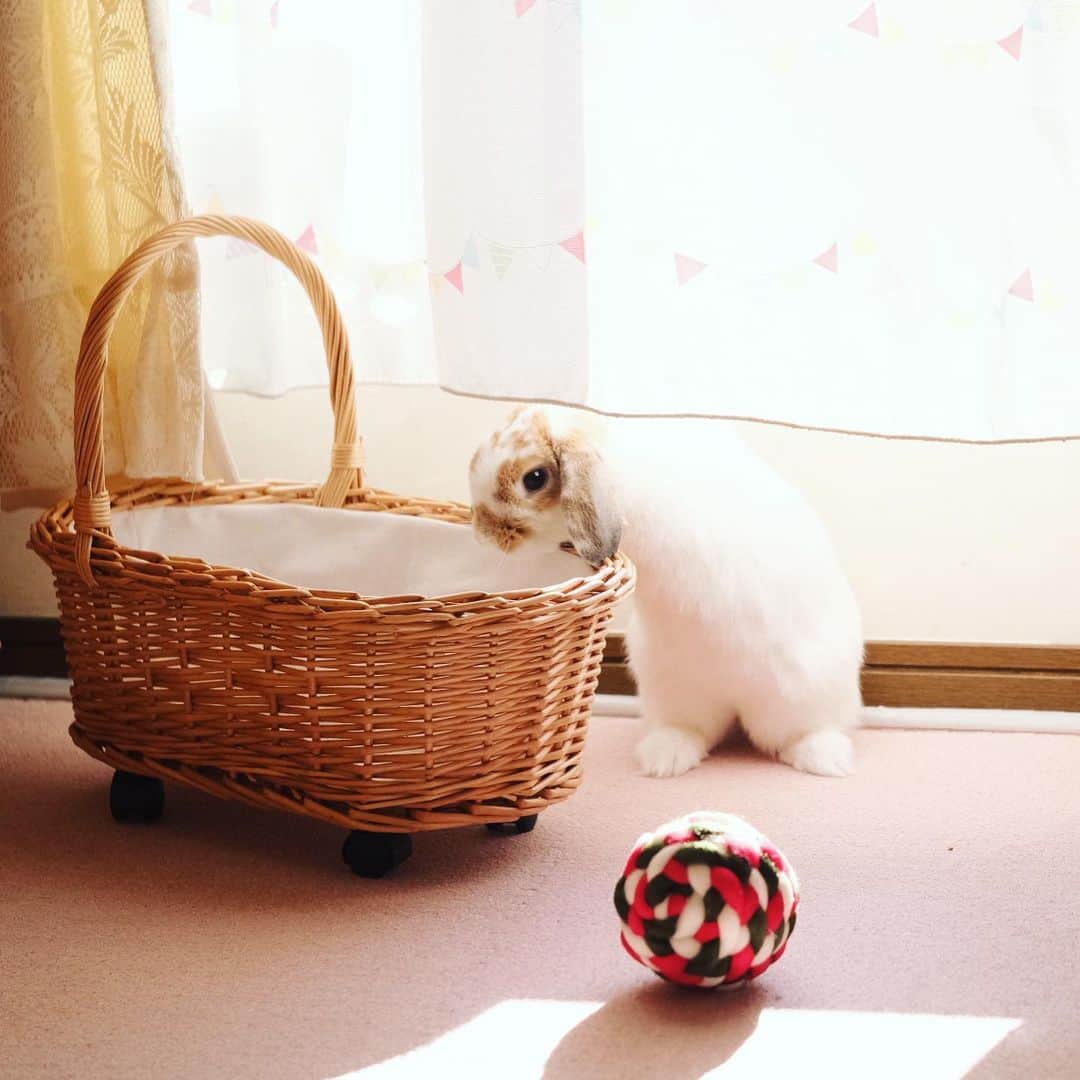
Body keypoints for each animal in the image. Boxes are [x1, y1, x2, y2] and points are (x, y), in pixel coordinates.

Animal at [468, 404, 863, 778]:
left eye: (534, 478)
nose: (484, 533)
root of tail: (735, 703)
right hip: (670, 688)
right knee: (692, 729)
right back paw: (664, 759)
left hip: (804, 694)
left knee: (805, 731)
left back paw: (825, 760)